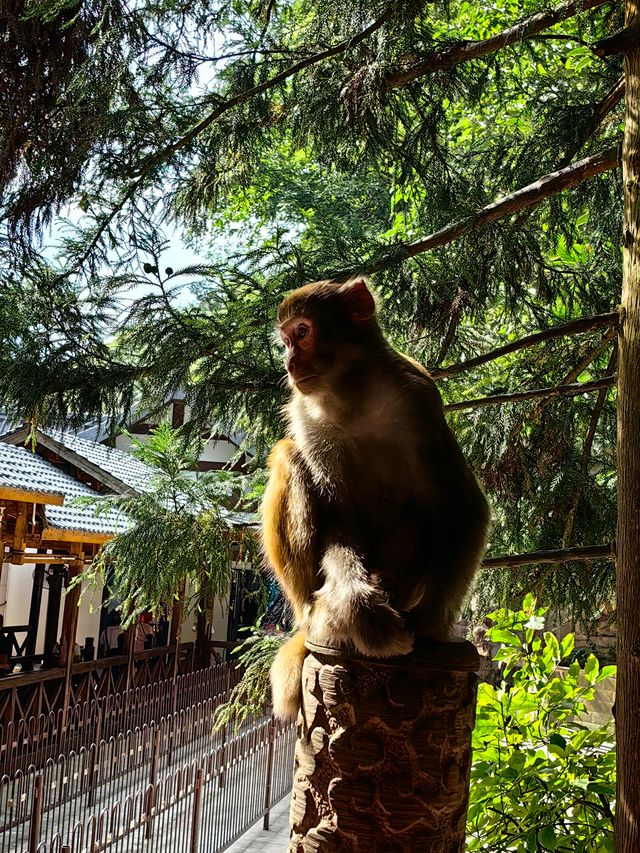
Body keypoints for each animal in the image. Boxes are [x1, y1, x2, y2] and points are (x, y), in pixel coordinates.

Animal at [260, 276, 490, 716]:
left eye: (303, 332)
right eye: (286, 340)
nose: (289, 364)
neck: (352, 395)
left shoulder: (418, 395)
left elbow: (463, 505)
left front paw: (430, 628)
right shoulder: (306, 415)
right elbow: (338, 519)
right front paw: (363, 612)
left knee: (427, 509)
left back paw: (389, 586)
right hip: (306, 598)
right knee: (287, 455)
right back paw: (326, 614)